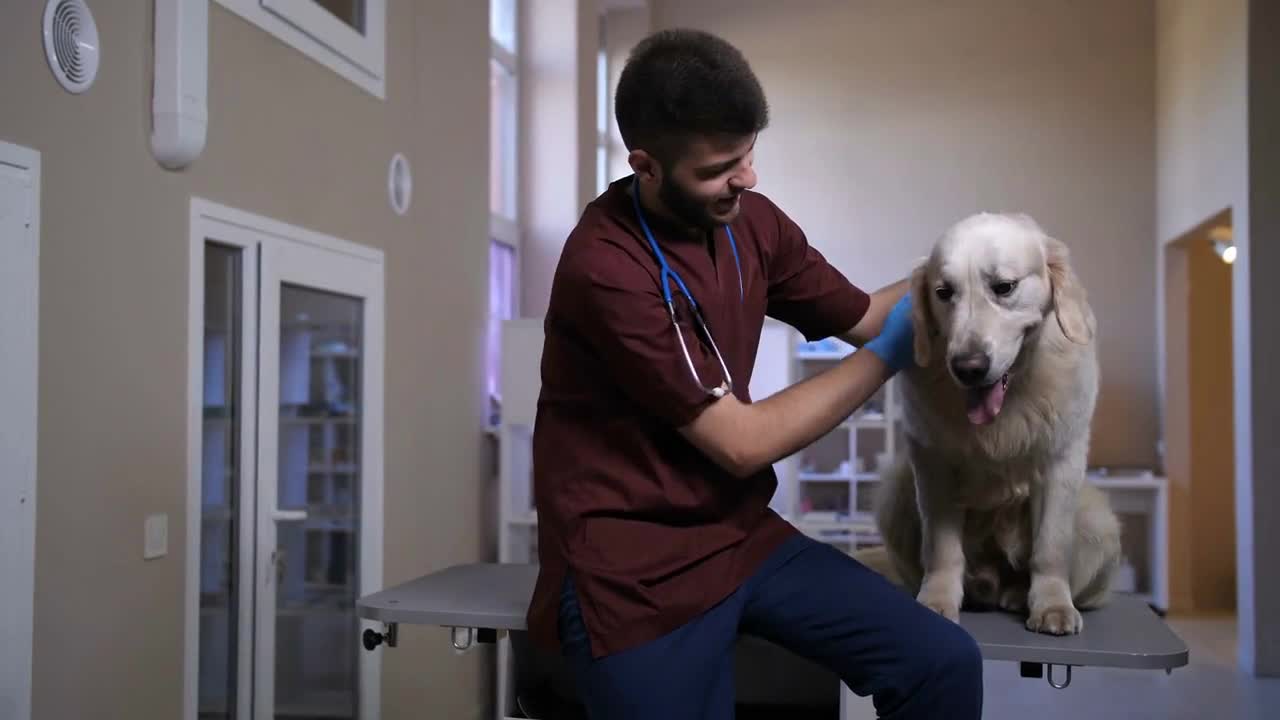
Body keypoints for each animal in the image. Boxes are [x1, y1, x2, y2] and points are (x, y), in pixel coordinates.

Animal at [870, 210, 1121, 630]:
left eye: (1004, 287)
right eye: (944, 293)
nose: (968, 367)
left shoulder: (1062, 462)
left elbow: (1050, 547)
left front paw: (1052, 605)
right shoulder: (932, 464)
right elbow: (942, 548)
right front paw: (937, 599)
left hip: (1095, 519)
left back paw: (1020, 595)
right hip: (896, 491)